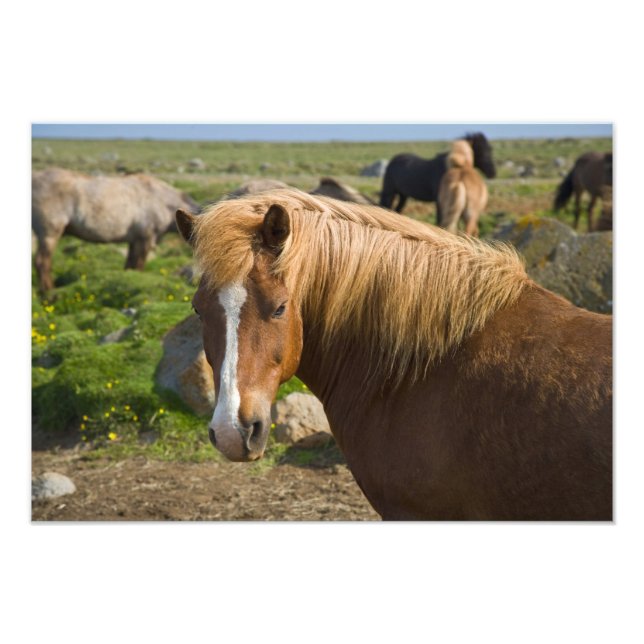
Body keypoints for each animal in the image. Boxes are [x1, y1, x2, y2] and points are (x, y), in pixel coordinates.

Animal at [32, 168, 198, 293]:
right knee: (42, 262)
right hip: (49, 234)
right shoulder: (145, 239)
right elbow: (138, 267)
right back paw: (49, 292)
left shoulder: (134, 240)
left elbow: (130, 267)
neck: (164, 201)